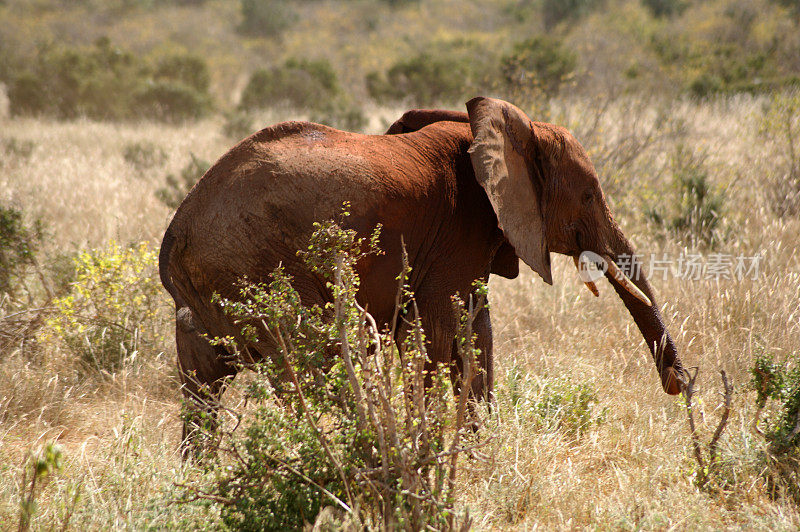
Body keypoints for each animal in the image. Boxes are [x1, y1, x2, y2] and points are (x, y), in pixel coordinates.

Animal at [159, 96, 684, 448]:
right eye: (590, 195)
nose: (679, 386)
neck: (511, 130)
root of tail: (176, 234)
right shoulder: (460, 229)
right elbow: (433, 333)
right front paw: (436, 447)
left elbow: (476, 333)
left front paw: (477, 454)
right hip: (261, 270)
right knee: (317, 365)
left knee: (201, 386)